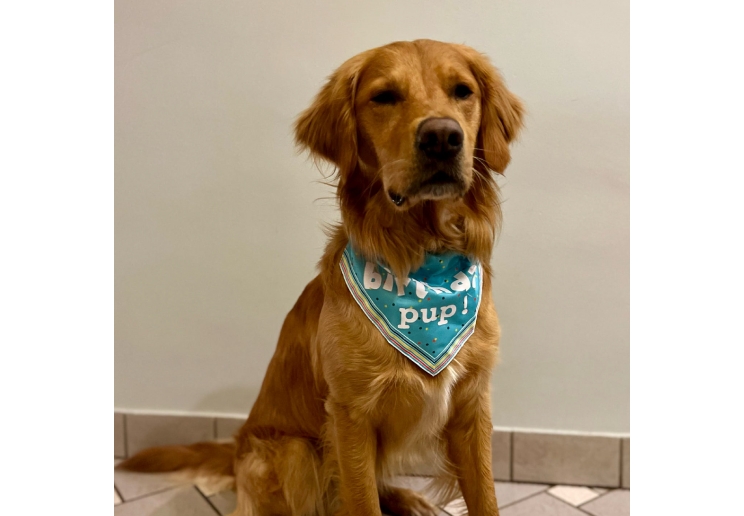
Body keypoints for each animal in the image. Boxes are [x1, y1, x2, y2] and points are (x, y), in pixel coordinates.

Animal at [119, 38, 524, 512]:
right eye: (384, 97)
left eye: (463, 91)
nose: (442, 137)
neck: (423, 259)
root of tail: (235, 445)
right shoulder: (350, 415)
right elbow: (362, 501)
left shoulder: (472, 406)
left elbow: (485, 496)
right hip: (293, 453)